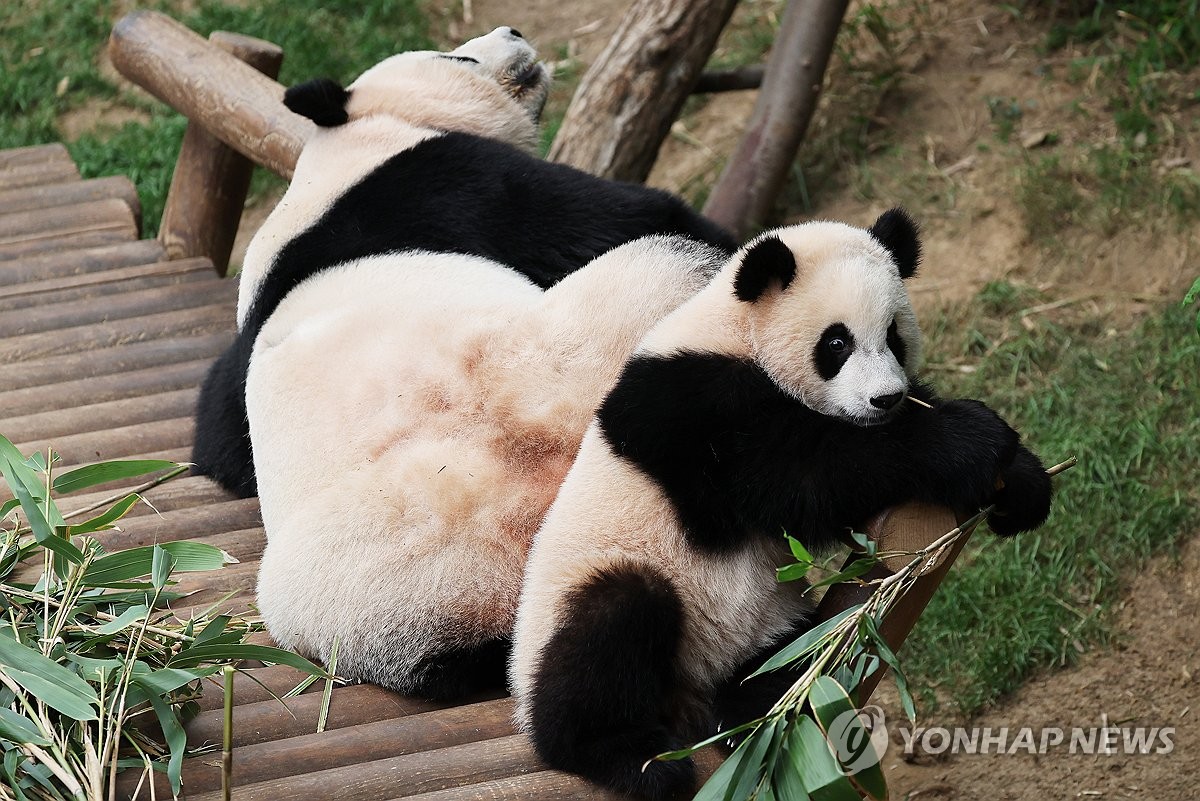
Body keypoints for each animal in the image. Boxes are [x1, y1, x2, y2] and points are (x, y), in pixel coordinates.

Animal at [511, 209, 1056, 796]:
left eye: (894, 336)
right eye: (837, 343)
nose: (884, 398)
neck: (737, 331)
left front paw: (1021, 483)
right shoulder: (696, 407)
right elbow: (802, 477)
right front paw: (972, 440)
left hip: (774, 623)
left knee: (785, 659)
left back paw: (761, 711)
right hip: (589, 592)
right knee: (611, 625)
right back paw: (634, 758)